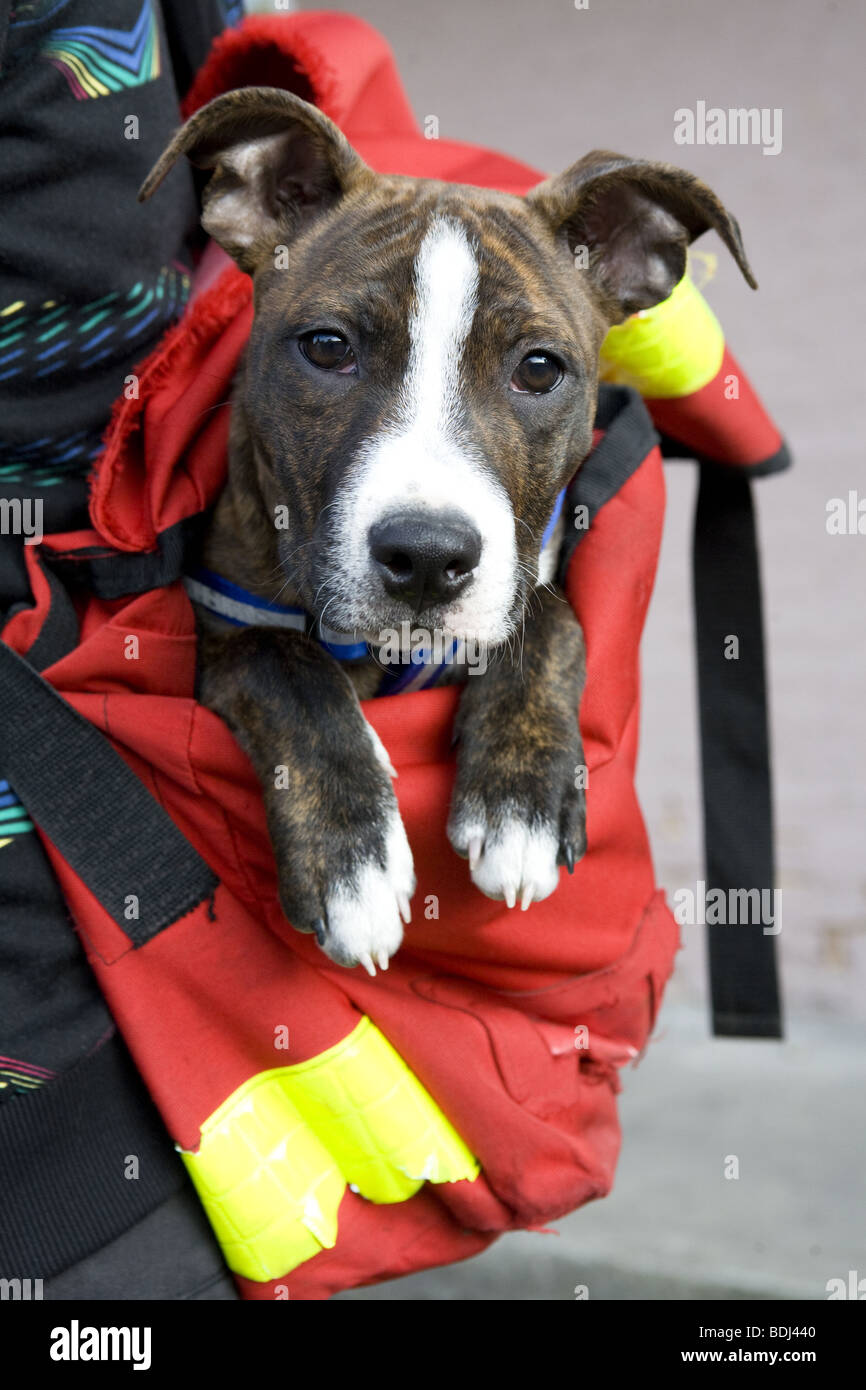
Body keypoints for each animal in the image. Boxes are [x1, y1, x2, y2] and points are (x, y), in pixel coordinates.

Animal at [139, 86, 756, 978]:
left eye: (539, 368)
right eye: (327, 347)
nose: (428, 559)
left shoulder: (524, 572)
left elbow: (553, 616)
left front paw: (521, 798)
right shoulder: (212, 633)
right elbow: (282, 661)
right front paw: (353, 859)